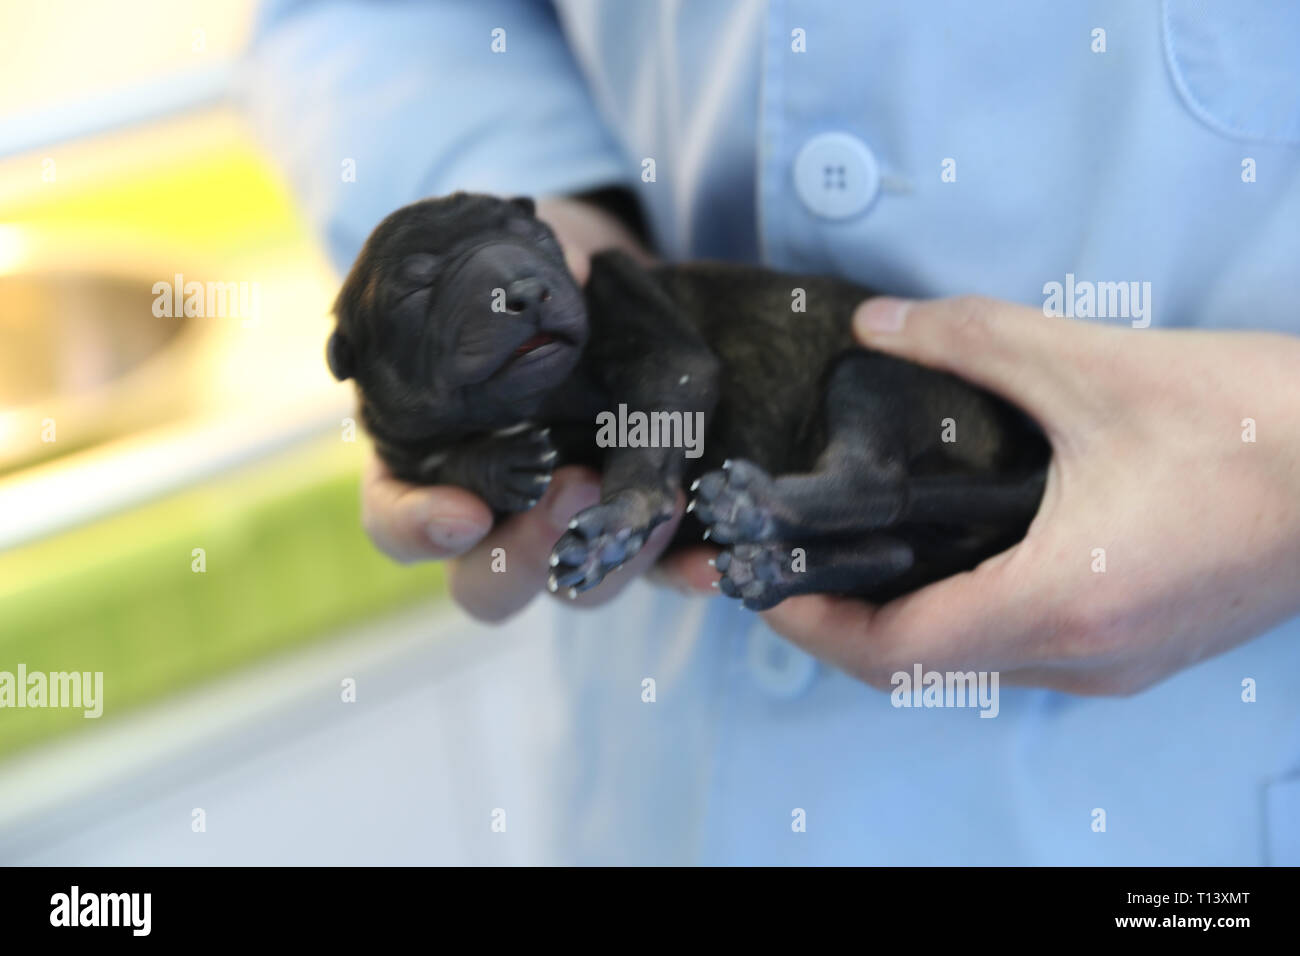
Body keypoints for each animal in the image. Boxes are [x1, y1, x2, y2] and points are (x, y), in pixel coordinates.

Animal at [330, 195, 1050, 613]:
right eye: (416, 288)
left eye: (536, 238)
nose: (526, 288)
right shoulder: (395, 438)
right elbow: (431, 457)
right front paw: (497, 464)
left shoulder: (633, 306)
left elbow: (656, 412)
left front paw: (616, 523)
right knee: (892, 551)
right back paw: (773, 571)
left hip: (874, 372)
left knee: (876, 484)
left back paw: (757, 507)